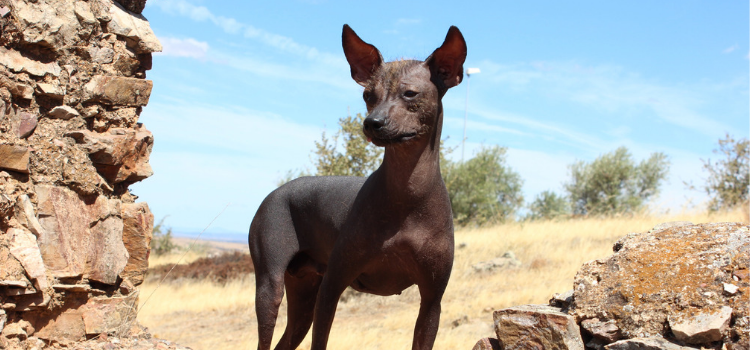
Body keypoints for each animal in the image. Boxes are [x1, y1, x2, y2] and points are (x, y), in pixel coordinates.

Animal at [250, 24, 468, 350]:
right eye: (368, 94)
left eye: (410, 93)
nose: (372, 122)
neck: (407, 194)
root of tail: (274, 193)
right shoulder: (332, 286)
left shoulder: (432, 301)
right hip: (271, 286)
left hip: (303, 295)